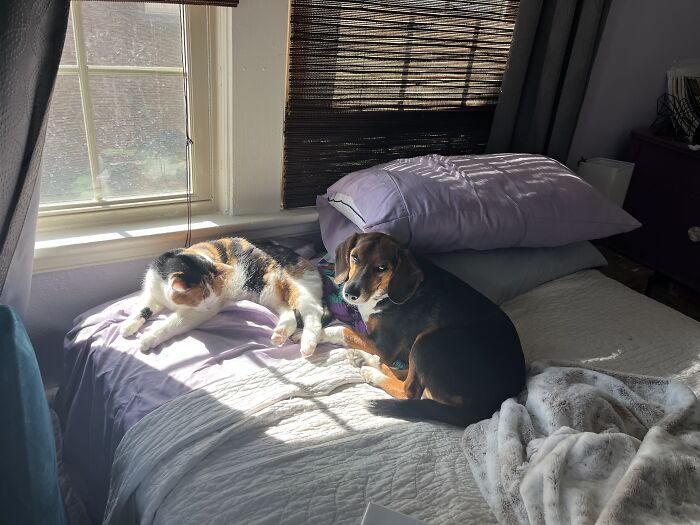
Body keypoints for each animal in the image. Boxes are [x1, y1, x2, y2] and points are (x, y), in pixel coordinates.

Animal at [120, 237, 325, 357]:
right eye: (203, 294)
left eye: (216, 291)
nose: (210, 304)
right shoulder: (151, 292)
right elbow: (141, 308)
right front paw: (128, 326)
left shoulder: (198, 313)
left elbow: (171, 324)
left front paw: (148, 338)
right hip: (266, 294)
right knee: (288, 312)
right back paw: (280, 334)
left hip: (290, 289)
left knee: (313, 313)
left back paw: (307, 344)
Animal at [322, 232, 526, 427]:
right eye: (354, 257)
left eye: (382, 267)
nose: (350, 293)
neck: (385, 292)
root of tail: (489, 406)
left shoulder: (383, 347)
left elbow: (344, 331)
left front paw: (319, 333)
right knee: (406, 374)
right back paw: (365, 360)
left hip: (427, 340)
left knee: (410, 391)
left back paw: (373, 373)